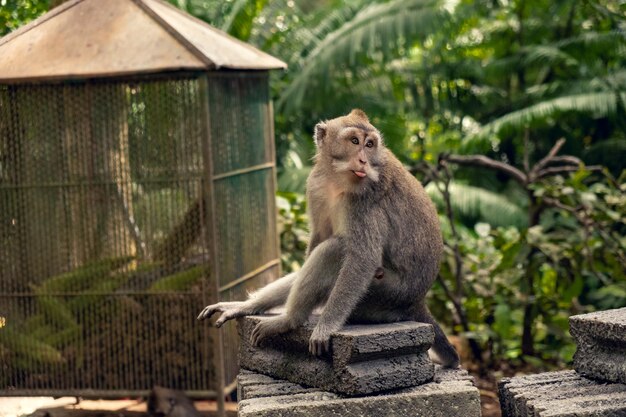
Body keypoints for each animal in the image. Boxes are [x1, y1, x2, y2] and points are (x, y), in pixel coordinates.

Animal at [197, 108, 460, 368]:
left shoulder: (365, 199)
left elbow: (362, 258)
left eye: (369, 144)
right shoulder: (315, 186)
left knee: (336, 250)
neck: (337, 178)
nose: (363, 160)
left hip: (384, 295)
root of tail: (417, 301)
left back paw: (289, 320)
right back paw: (249, 307)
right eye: (354, 141)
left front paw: (325, 326)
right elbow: (318, 239)